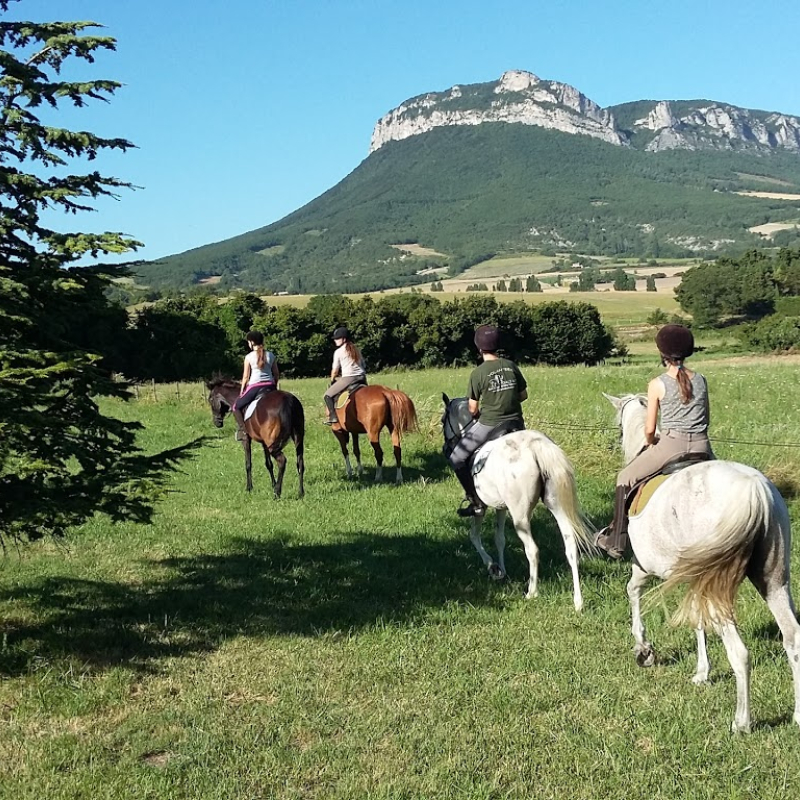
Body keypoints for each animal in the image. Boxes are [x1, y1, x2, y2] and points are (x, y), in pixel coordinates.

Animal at [440, 394, 596, 608]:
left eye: (442, 421)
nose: (445, 448)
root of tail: (536, 446)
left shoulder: (482, 507)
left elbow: (475, 536)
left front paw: (494, 568)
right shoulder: (501, 508)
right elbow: (499, 539)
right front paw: (503, 570)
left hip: (520, 517)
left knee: (532, 550)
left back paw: (532, 592)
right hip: (556, 506)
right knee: (571, 546)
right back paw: (578, 602)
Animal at [608, 390, 800, 736]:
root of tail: (753, 489)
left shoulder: (644, 568)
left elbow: (633, 593)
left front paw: (644, 650)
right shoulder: (696, 578)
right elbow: (697, 621)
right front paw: (702, 672)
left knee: (740, 652)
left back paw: (742, 722)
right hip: (774, 582)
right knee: (793, 639)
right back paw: (797, 716)